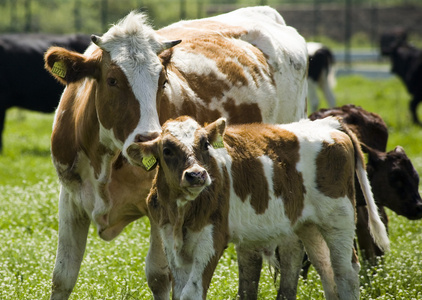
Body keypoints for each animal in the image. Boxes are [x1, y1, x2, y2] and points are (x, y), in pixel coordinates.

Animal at [43, 7, 306, 300]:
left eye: (162, 81)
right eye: (112, 80)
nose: (148, 139)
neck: (106, 160)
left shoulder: (160, 204)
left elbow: (158, 276)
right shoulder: (70, 197)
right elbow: (63, 276)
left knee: (292, 246)